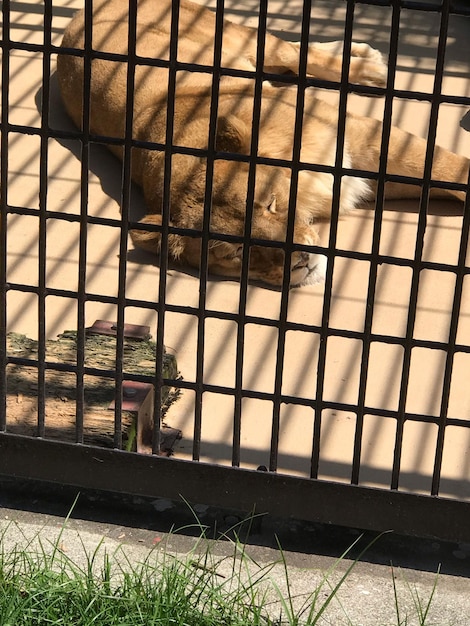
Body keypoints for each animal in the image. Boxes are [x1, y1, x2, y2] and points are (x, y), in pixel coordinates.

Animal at [56, 0, 470, 286]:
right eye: (238, 252)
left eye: (269, 203)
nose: (302, 261)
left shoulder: (354, 134)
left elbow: (445, 166)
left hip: (234, 35)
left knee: (293, 51)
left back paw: (368, 66)